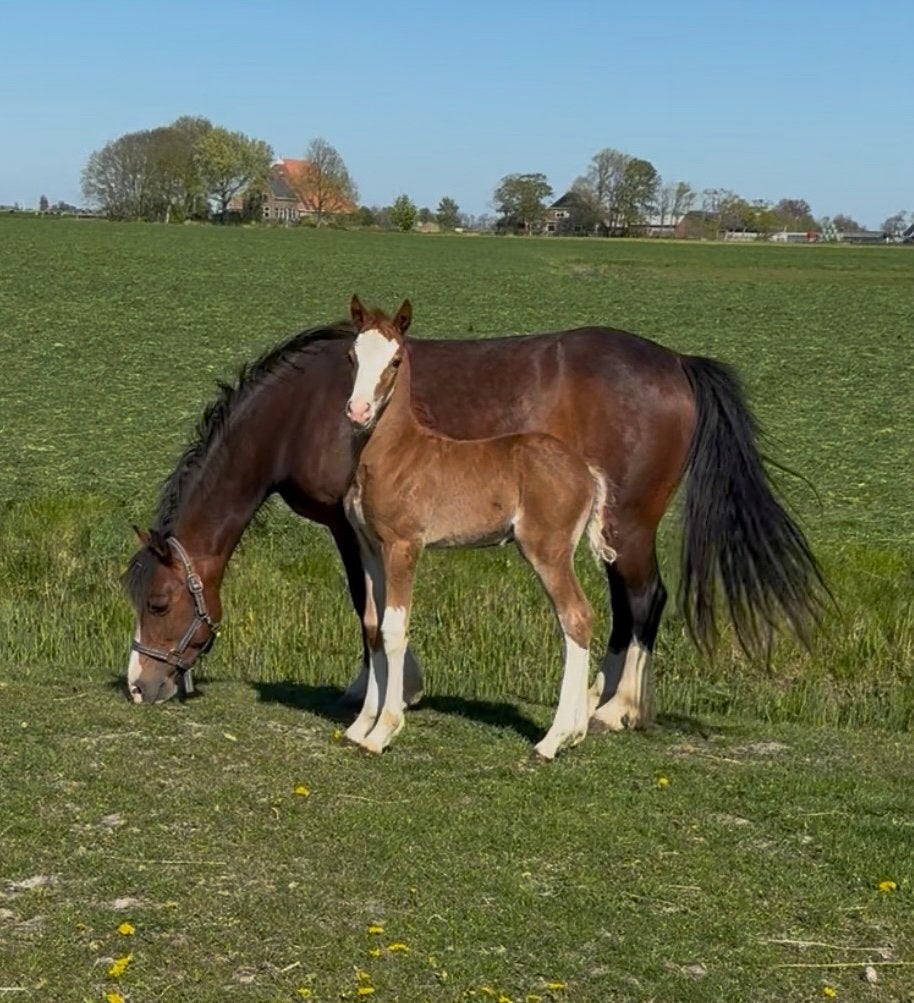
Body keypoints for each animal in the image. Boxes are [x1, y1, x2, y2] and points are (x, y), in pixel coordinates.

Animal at [123, 313, 824, 729]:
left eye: (158, 604)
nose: (138, 685)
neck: (303, 409)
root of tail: (677, 361)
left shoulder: (352, 530)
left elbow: (367, 610)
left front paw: (382, 691)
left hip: (627, 526)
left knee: (645, 599)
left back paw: (615, 709)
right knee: (627, 607)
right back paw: (596, 700)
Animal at [343, 296, 617, 758]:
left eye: (395, 360)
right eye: (352, 355)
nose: (358, 411)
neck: (394, 453)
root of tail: (586, 470)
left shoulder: (403, 546)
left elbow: (395, 629)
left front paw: (383, 732)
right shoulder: (369, 547)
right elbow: (373, 627)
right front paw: (360, 726)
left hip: (547, 550)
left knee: (577, 617)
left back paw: (552, 740)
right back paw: (575, 733)